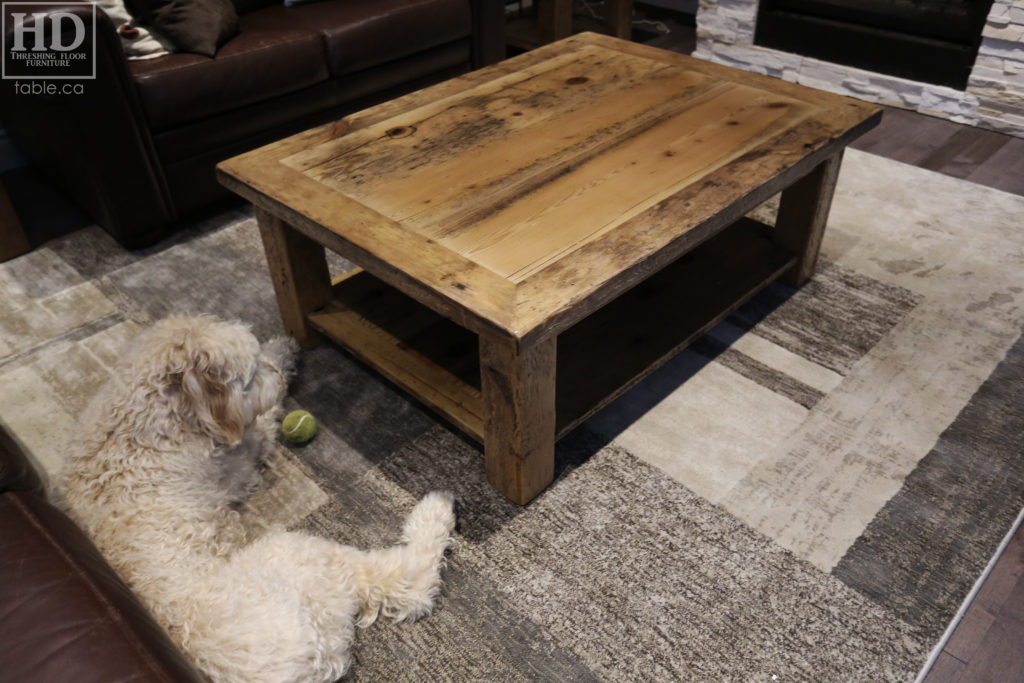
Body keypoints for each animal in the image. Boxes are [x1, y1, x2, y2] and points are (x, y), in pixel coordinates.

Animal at [55, 317, 456, 683]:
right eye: (248, 377)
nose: (277, 380)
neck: (141, 419)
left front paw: (283, 348)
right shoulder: (236, 464)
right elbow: (264, 423)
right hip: (301, 557)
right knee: (408, 582)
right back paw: (437, 510)